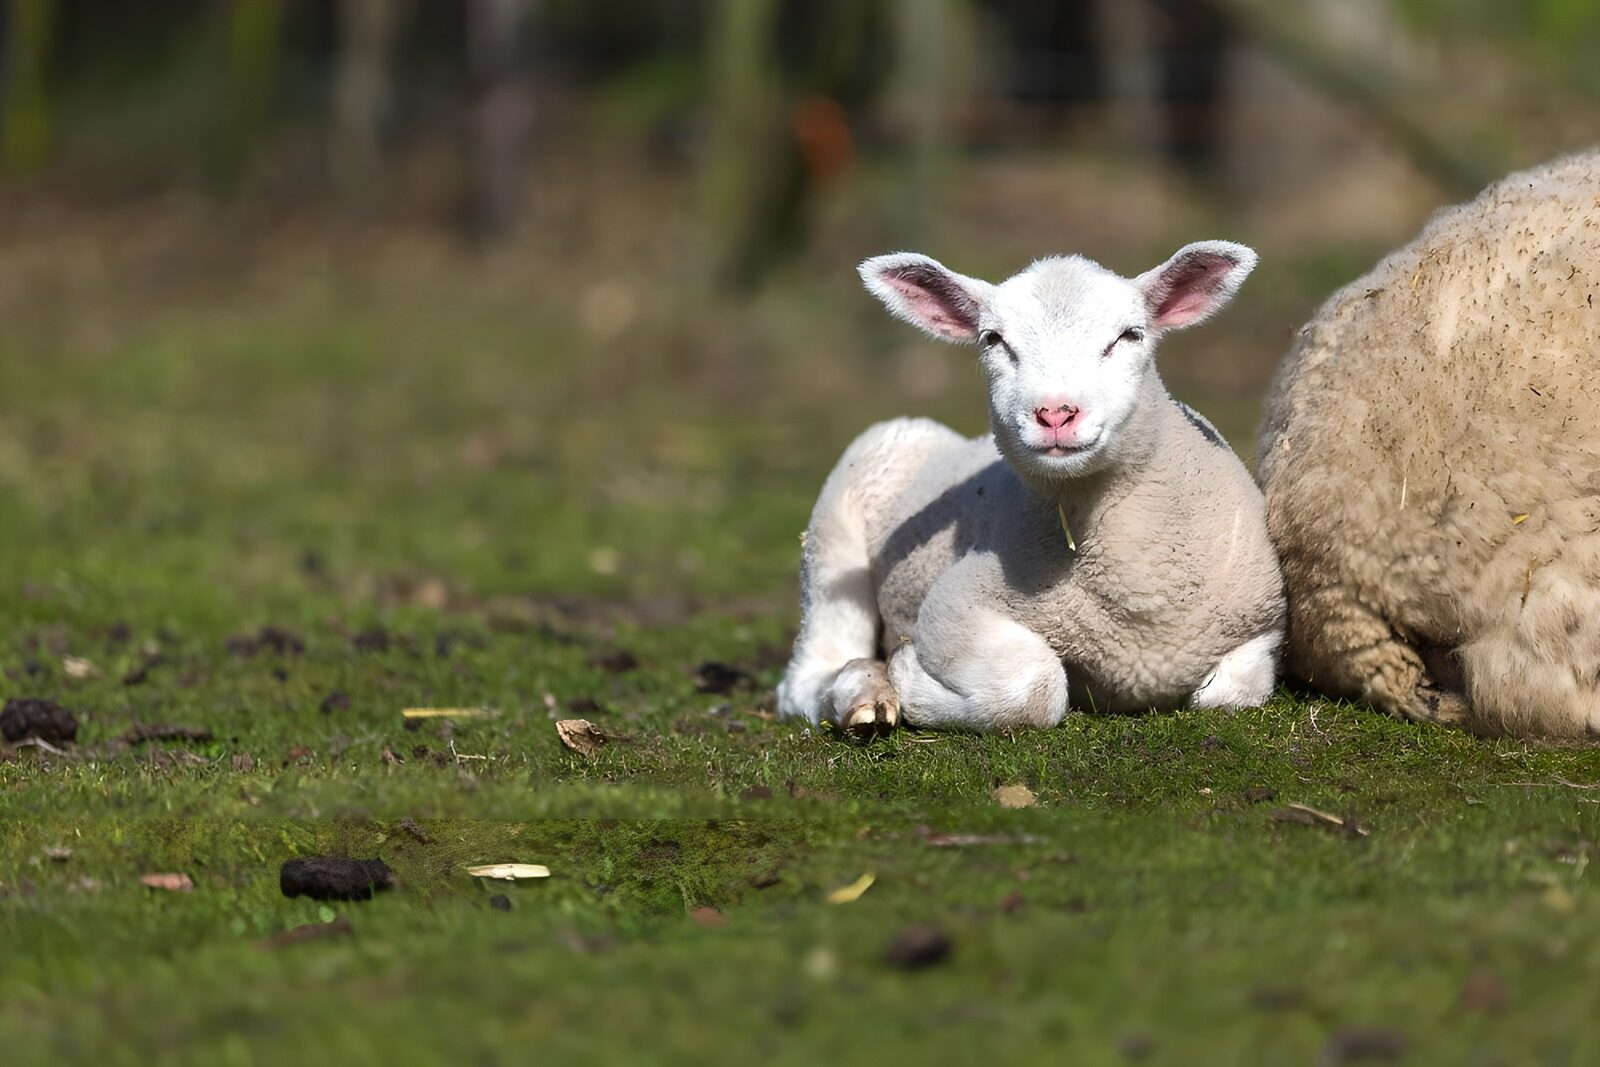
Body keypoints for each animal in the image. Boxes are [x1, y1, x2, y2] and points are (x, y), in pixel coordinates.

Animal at [776, 243, 1287, 734]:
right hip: (830, 544)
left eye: (1130, 335)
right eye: (993, 340)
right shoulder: (953, 608)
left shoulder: (1260, 627)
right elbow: (1033, 685)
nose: (1056, 413)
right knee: (809, 673)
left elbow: (1229, 695)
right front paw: (906, 674)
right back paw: (865, 694)